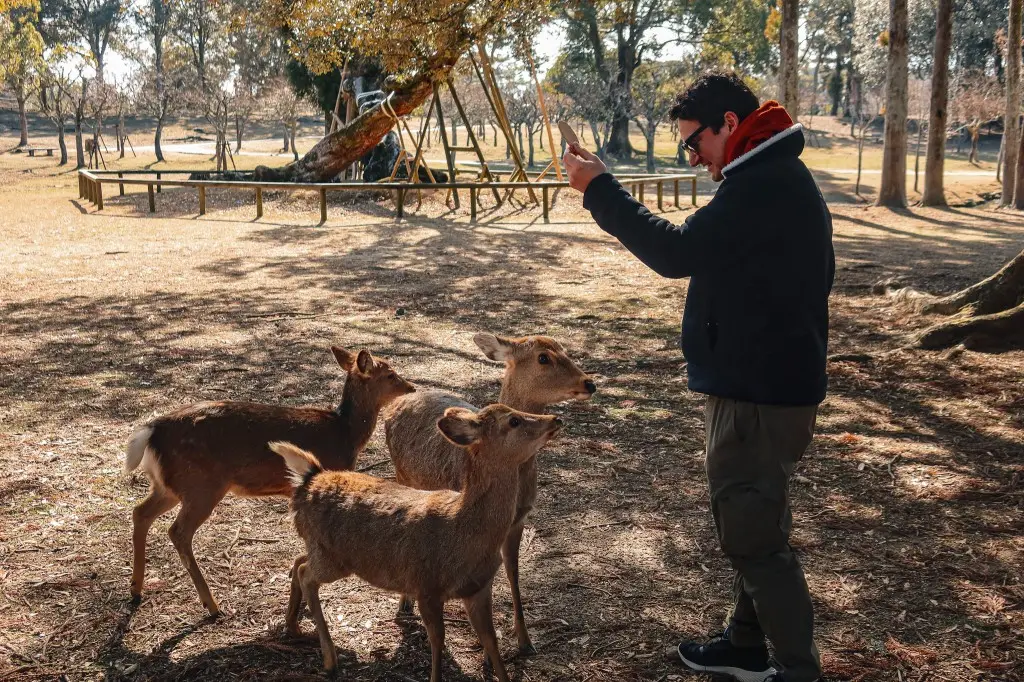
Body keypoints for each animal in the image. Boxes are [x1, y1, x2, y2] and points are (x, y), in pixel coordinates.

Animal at [124, 342, 415, 614]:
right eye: (390, 374)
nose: (411, 387)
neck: (347, 434)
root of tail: (151, 431)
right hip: (202, 484)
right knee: (178, 531)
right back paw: (212, 605)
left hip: (168, 485)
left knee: (140, 512)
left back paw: (136, 589)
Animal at [272, 403, 565, 679]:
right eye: (513, 420)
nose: (556, 419)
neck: (466, 535)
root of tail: (310, 478)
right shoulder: (426, 585)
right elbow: (438, 641)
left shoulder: (479, 587)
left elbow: (491, 641)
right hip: (333, 558)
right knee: (305, 573)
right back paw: (329, 660)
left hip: (322, 550)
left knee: (298, 561)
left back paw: (293, 626)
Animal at [382, 331, 593, 651]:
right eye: (544, 357)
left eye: (565, 349)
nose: (589, 383)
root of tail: (399, 401)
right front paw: (485, 649)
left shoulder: (520, 520)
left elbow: (513, 573)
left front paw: (525, 641)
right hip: (401, 474)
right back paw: (404, 604)